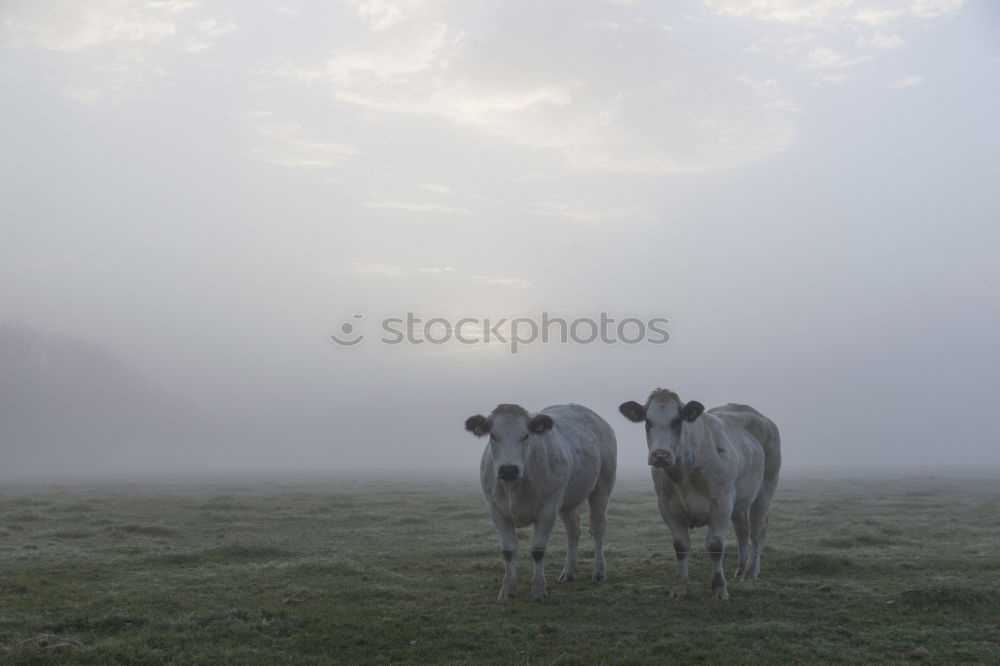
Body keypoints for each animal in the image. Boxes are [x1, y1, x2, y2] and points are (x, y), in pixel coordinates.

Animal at [462, 402, 616, 600]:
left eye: (526, 435)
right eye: (493, 435)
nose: (509, 469)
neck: (514, 487)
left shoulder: (548, 508)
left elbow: (537, 550)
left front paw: (538, 590)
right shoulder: (495, 509)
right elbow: (508, 550)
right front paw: (507, 589)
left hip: (602, 485)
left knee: (597, 528)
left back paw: (599, 572)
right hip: (567, 499)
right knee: (573, 530)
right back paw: (569, 571)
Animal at [616, 386, 780, 600]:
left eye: (677, 421)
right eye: (648, 421)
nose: (660, 455)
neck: (684, 473)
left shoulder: (722, 502)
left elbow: (715, 546)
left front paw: (719, 589)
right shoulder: (666, 506)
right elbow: (680, 546)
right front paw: (679, 588)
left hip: (765, 487)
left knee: (757, 529)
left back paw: (751, 572)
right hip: (739, 500)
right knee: (742, 530)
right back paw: (741, 568)